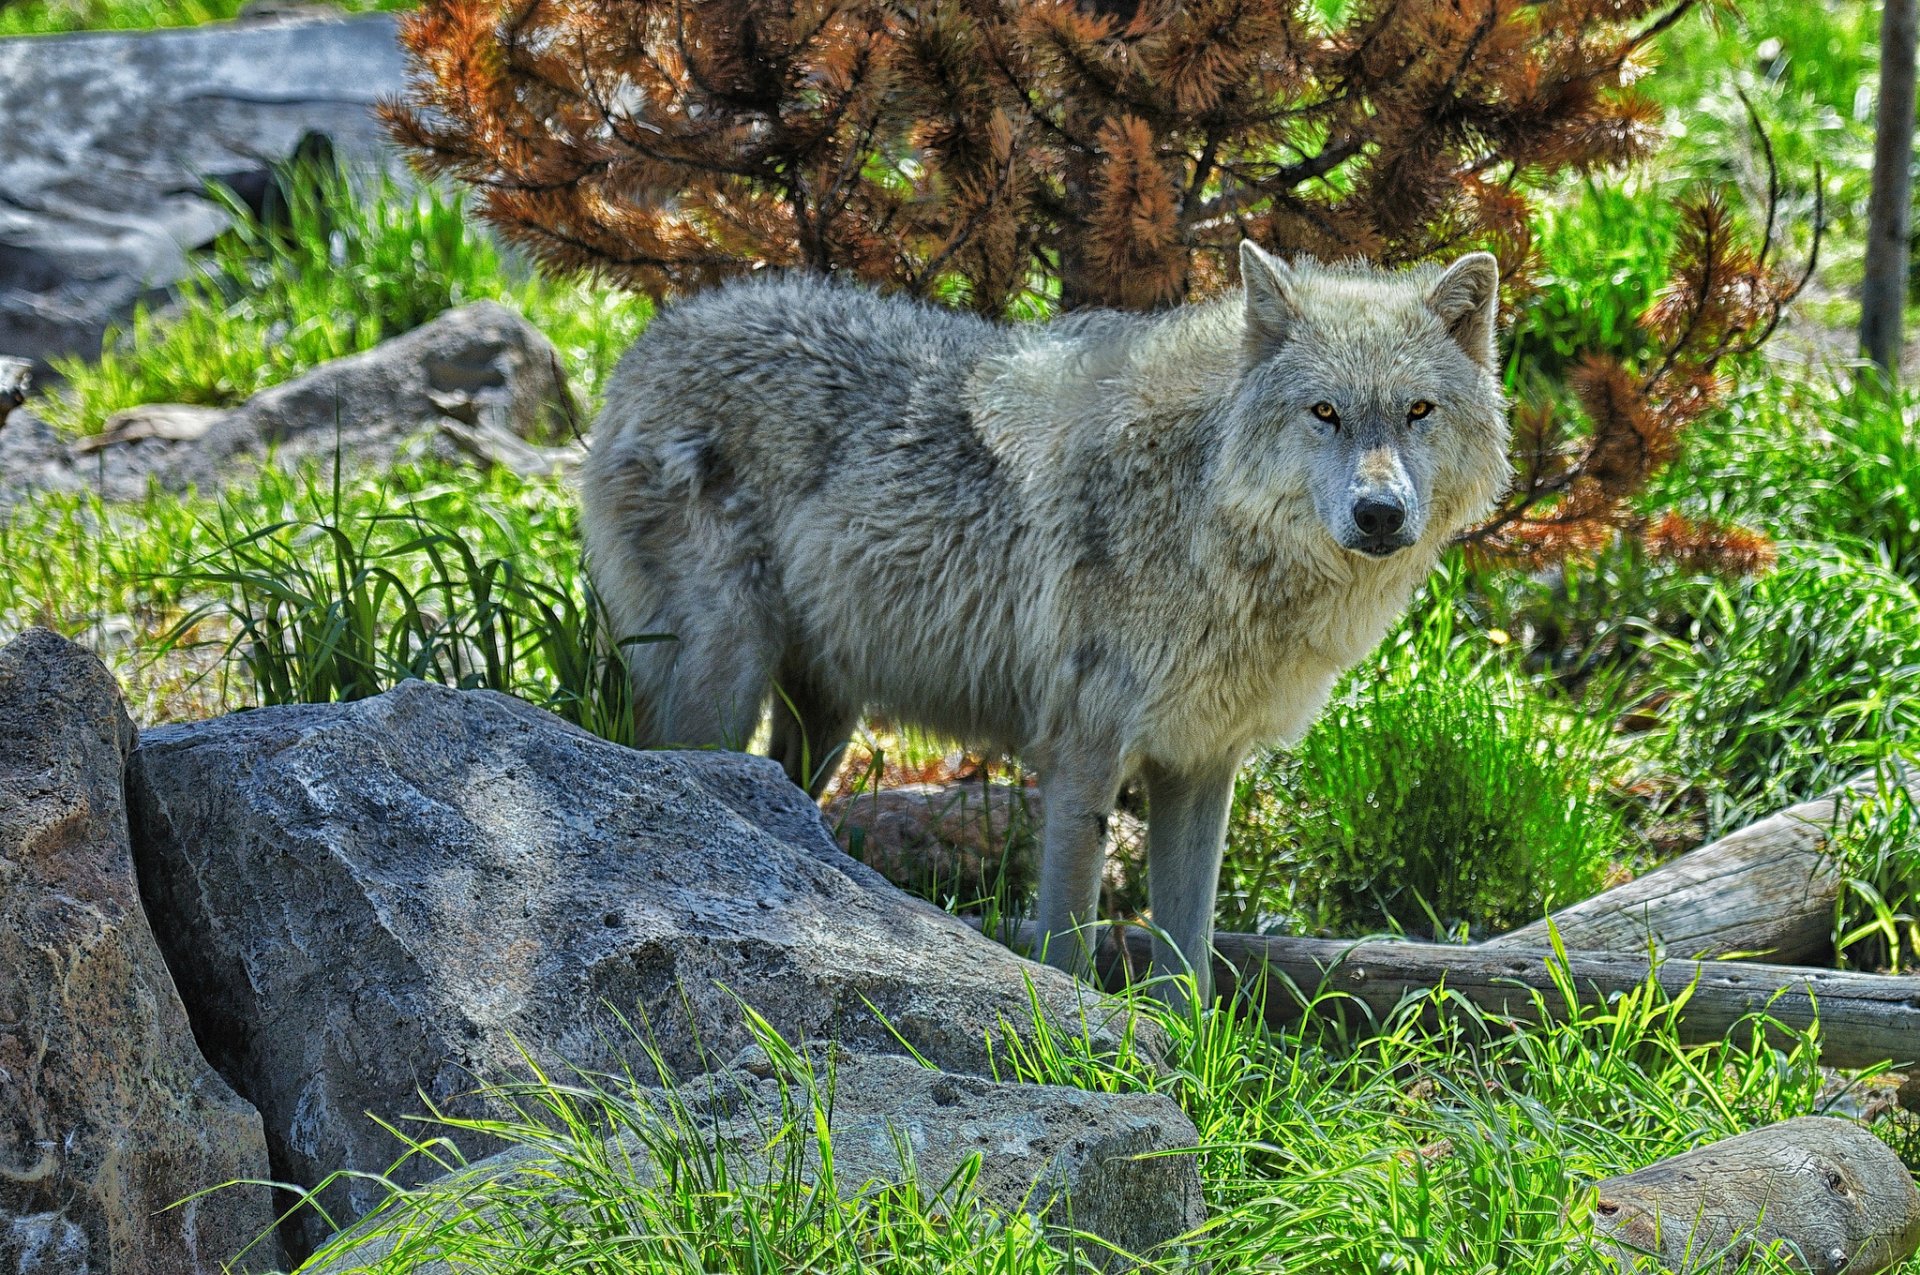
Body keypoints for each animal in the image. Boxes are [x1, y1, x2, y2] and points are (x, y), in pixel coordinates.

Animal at [580, 241, 1512, 1004]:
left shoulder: (1200, 764)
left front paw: (1189, 1063)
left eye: (1418, 411)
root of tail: (650, 341)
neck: (1205, 512)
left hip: (823, 724)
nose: (1380, 513)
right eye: (1325, 412)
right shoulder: (1082, 754)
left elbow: (1190, 961)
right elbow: (1069, 937)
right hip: (725, 685)